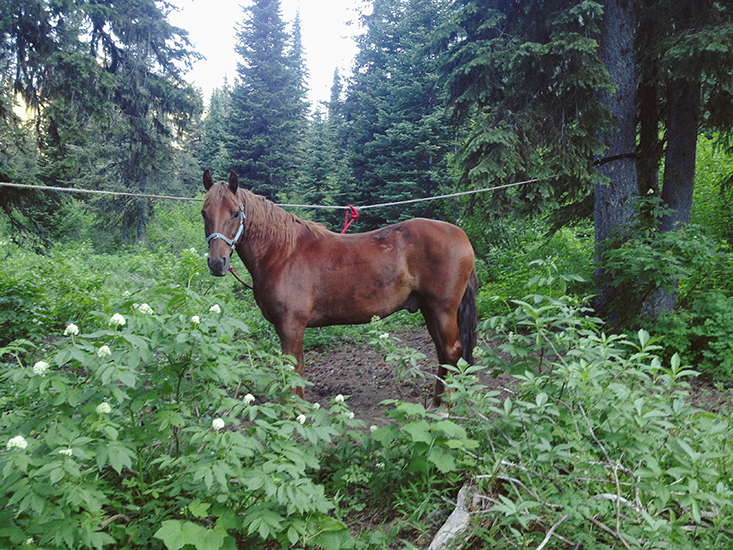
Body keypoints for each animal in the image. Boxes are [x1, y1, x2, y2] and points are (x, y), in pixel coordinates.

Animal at [200, 170, 478, 408]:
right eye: (204, 213)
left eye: (235, 213)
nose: (217, 263)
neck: (283, 253)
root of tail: (461, 235)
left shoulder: (291, 325)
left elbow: (294, 370)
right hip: (429, 309)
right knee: (443, 353)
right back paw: (436, 405)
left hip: (443, 309)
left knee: (452, 352)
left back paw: (444, 410)